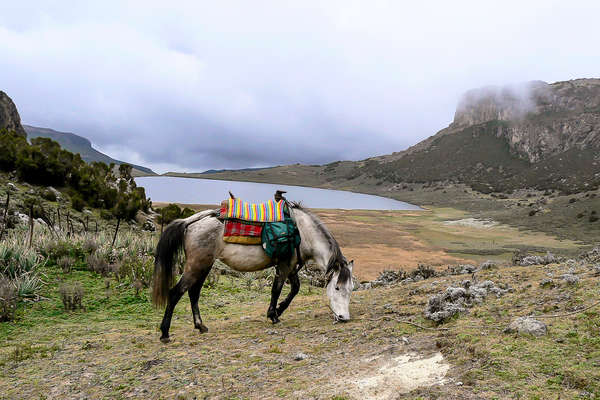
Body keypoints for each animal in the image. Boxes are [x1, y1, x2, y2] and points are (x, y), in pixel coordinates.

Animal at [152, 203, 354, 344]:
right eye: (337, 288)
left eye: (351, 289)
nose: (344, 318)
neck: (303, 232)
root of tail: (190, 222)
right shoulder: (285, 265)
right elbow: (276, 290)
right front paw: (273, 315)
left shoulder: (291, 266)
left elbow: (295, 289)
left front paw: (279, 310)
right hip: (197, 266)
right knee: (176, 293)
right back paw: (165, 333)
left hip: (204, 266)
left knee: (193, 293)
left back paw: (200, 326)